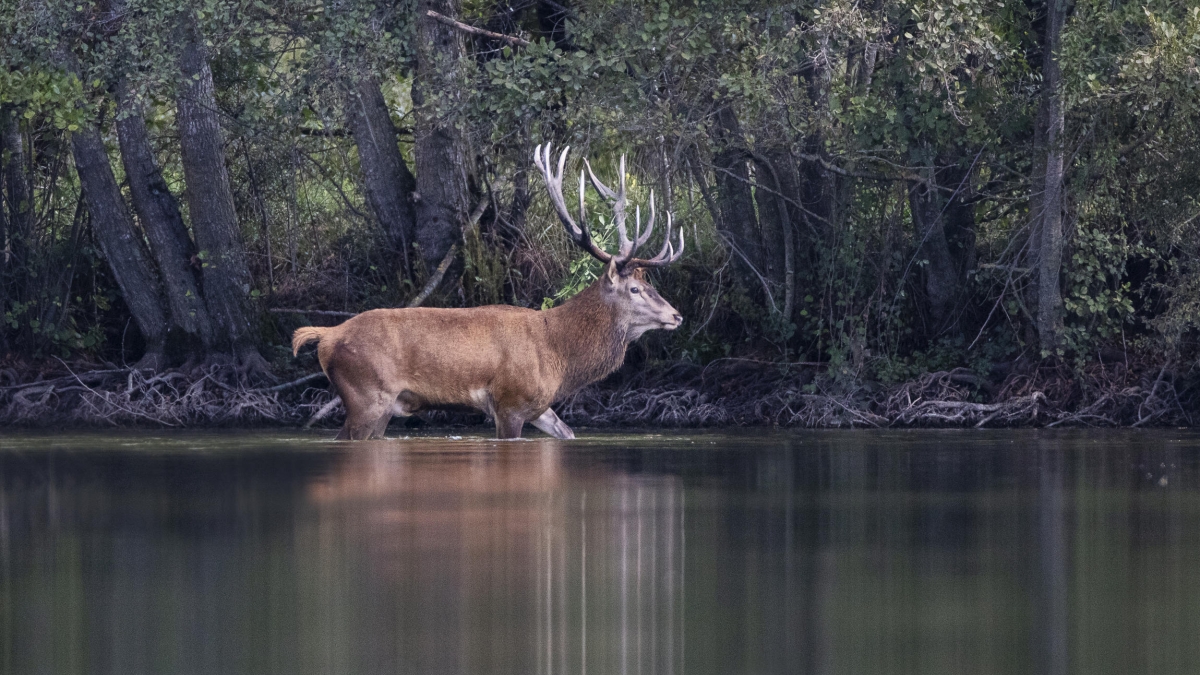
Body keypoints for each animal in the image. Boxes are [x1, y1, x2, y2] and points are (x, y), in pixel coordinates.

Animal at [290, 144, 686, 439]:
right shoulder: (509, 401)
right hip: (366, 396)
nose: (677, 315)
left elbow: (568, 433)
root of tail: (326, 336)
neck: (558, 354)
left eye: (649, 284)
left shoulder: (540, 407)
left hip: (379, 406)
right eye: (635, 288)